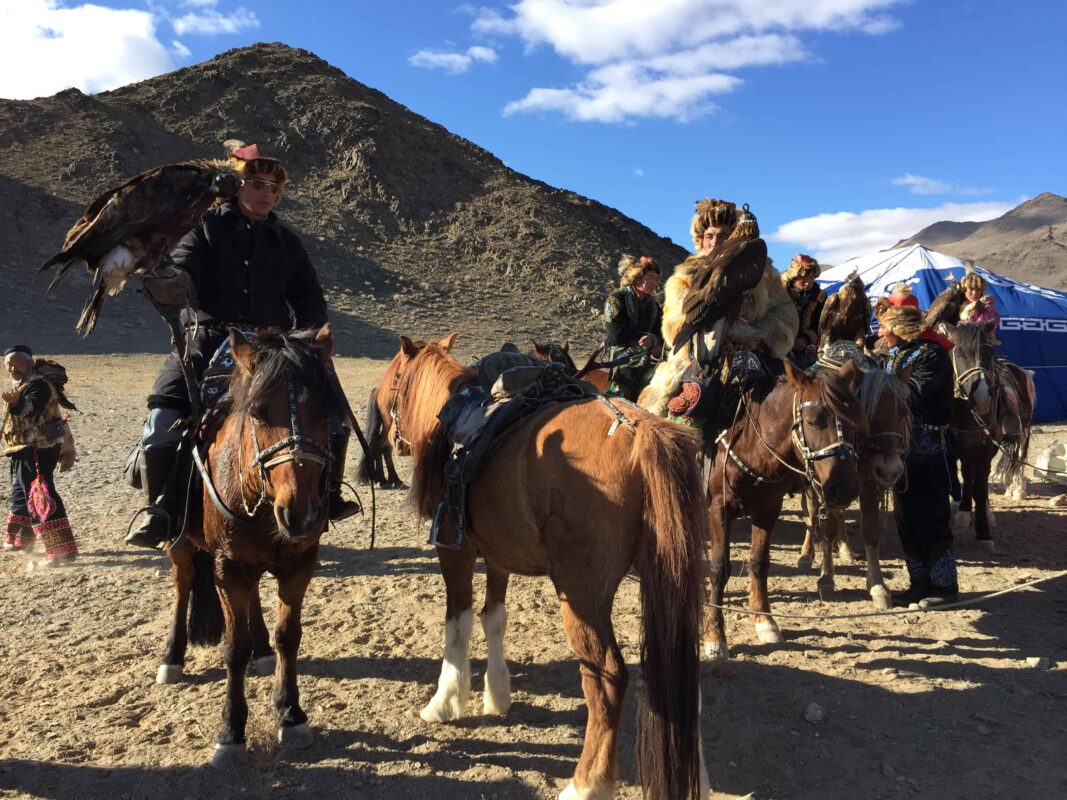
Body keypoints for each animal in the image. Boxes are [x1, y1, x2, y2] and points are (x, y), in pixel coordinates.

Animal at [157, 326, 339, 772]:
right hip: (181, 544)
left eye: (326, 412)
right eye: (258, 412)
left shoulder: (300, 564)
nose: (301, 513)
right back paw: (172, 656)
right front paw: (231, 732)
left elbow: (288, 636)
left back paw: (261, 648)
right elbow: (233, 649)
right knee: (183, 584)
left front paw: (291, 713)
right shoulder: (229, 568)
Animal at [390, 334, 708, 800]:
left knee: (607, 679)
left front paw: (445, 701)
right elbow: (494, 618)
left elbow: (458, 623)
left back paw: (587, 783)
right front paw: (497, 695)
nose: (392, 438)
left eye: (395, 379)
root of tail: (642, 433)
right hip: (671, 584)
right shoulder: (497, 555)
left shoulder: (455, 550)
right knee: (679, 677)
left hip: (581, 596)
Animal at [699, 360, 866, 661]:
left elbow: (759, 562)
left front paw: (765, 621)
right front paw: (715, 637)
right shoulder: (718, 509)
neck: (750, 442)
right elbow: (719, 568)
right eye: (812, 421)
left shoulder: (768, 509)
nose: (845, 488)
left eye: (852, 423)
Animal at [802, 366, 909, 610]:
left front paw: (877, 585)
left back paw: (845, 548)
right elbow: (828, 528)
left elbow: (870, 531)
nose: (890, 470)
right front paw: (826, 578)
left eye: (903, 412)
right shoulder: (828, 484)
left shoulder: (867, 481)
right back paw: (807, 553)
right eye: (869, 416)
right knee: (812, 513)